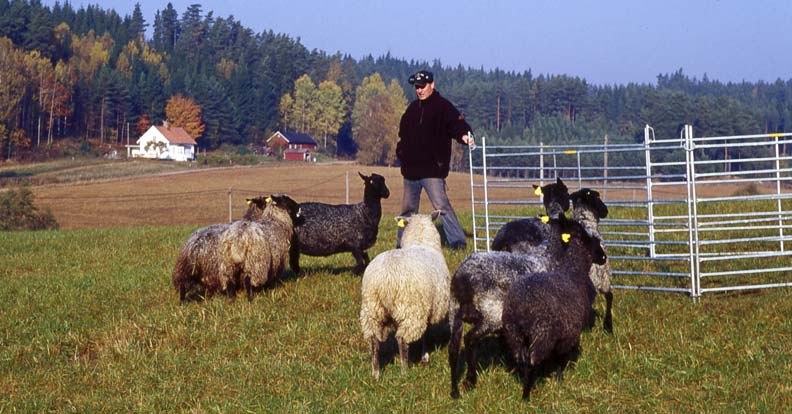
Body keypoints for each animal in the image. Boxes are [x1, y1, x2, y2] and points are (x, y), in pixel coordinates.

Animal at [360, 212, 452, 380]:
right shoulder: (426, 308)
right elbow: (426, 333)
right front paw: (425, 356)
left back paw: (376, 374)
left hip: (372, 308)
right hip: (411, 309)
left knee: (374, 339)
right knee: (402, 339)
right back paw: (404, 371)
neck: (420, 242)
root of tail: (386, 278)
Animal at [502, 218, 608, 400]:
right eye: (585, 236)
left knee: (522, 360)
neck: (572, 269)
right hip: (542, 335)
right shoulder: (567, 336)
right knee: (531, 361)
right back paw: (526, 395)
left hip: (514, 334)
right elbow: (560, 360)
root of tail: (521, 306)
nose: (603, 257)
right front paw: (559, 380)